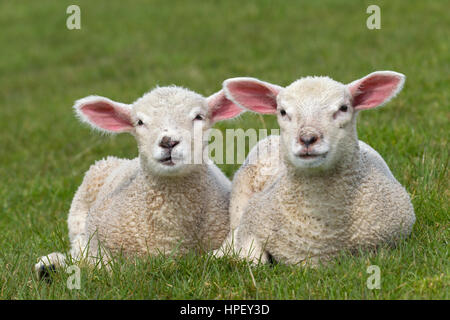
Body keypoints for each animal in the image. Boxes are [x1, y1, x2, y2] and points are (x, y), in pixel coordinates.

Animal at [36, 85, 243, 278]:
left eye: (199, 116)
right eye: (140, 122)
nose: (168, 142)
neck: (170, 233)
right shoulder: (97, 241)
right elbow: (99, 263)